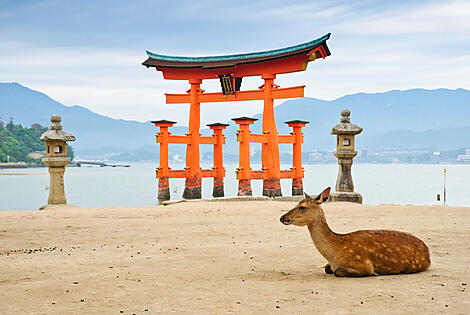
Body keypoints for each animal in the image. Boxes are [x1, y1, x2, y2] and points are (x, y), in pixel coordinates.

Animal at [280, 188, 430, 276]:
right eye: (298, 203)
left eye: (302, 207)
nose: (282, 217)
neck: (334, 253)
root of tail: (428, 255)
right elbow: (327, 268)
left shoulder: (363, 265)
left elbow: (338, 272)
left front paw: (375, 273)